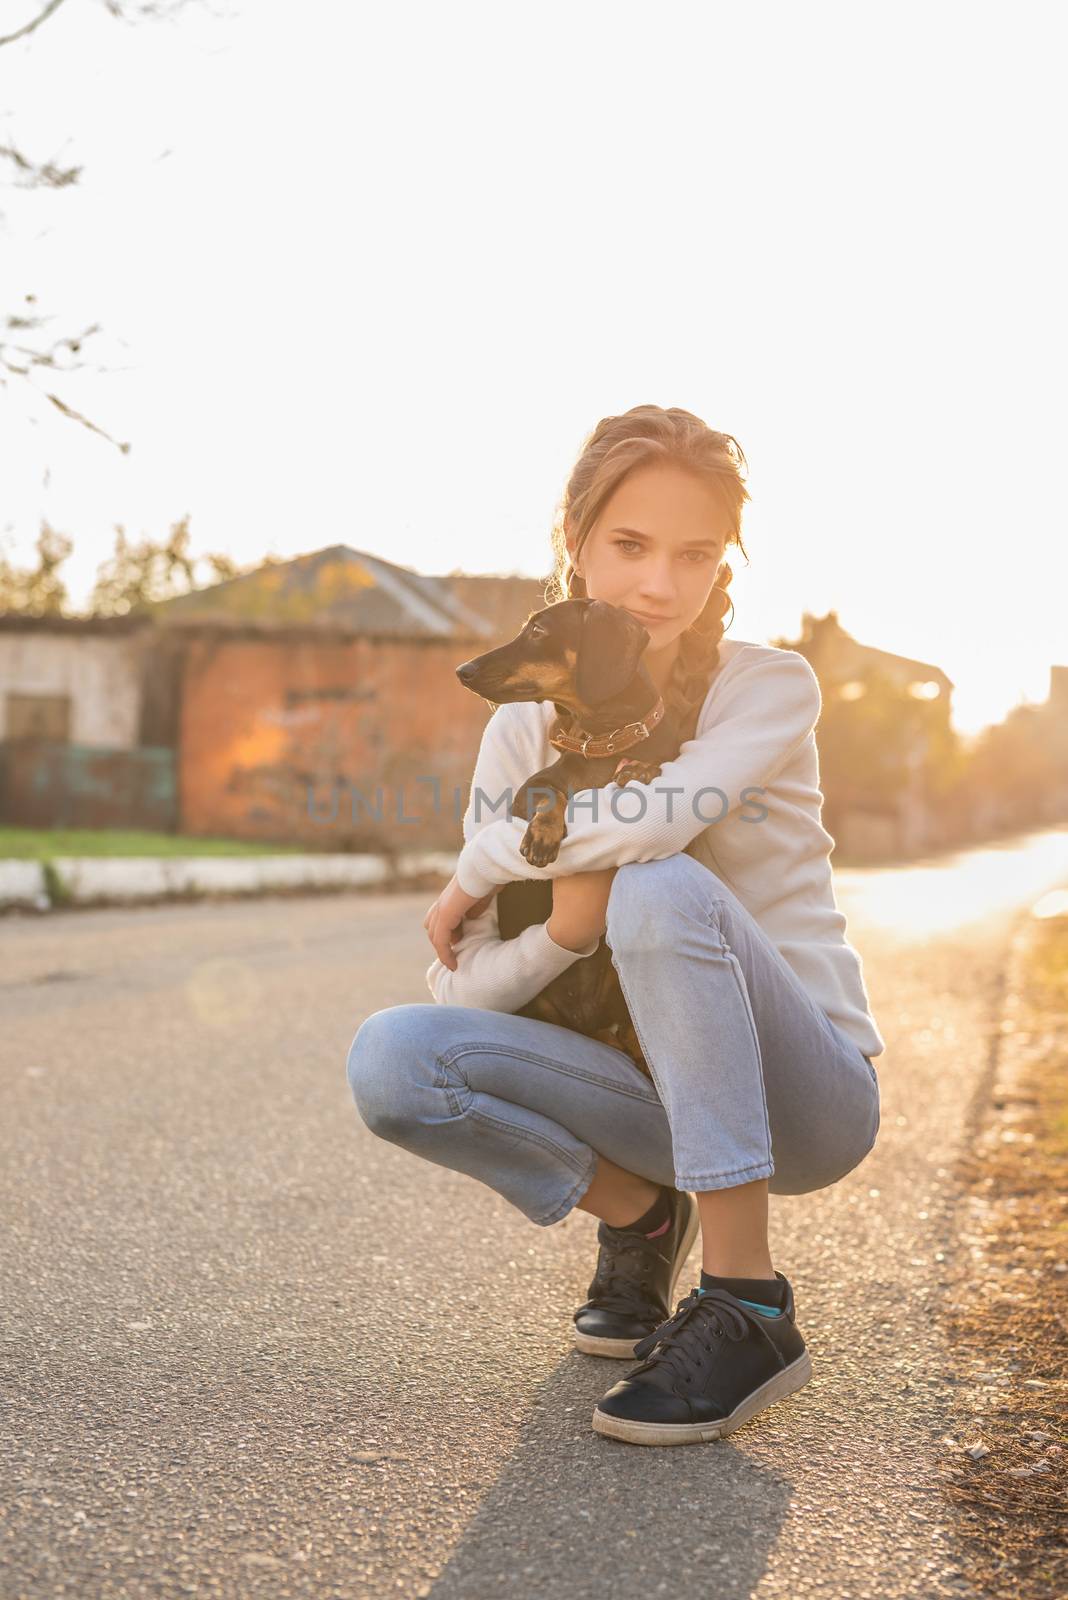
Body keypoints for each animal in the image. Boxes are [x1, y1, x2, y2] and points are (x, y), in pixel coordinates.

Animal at [454, 595, 687, 1081]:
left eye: (539, 630)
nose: (462, 670)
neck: (605, 741)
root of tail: (586, 1018)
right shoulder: (529, 792)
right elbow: (551, 794)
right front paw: (542, 836)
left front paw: (641, 770)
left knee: (629, 1032)